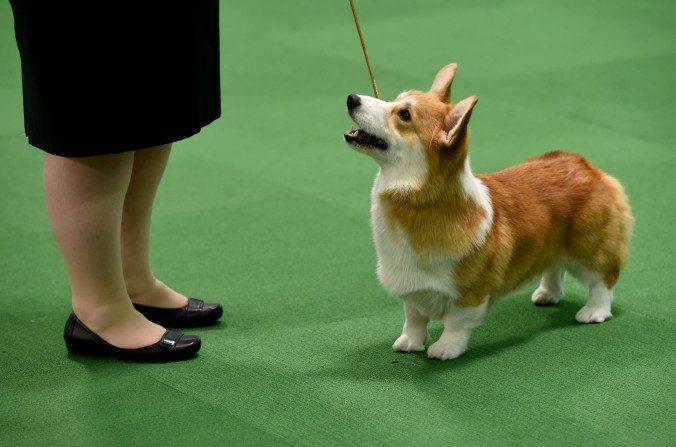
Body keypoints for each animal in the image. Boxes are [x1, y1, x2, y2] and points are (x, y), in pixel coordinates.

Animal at [344, 63, 632, 360]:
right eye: (396, 99)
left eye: (404, 114)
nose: (351, 98)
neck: (417, 200)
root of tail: (587, 166)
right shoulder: (413, 288)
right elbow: (413, 317)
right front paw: (410, 343)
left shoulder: (470, 294)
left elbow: (455, 323)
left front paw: (445, 349)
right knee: (554, 266)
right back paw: (547, 294)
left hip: (589, 249)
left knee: (603, 280)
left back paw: (594, 312)